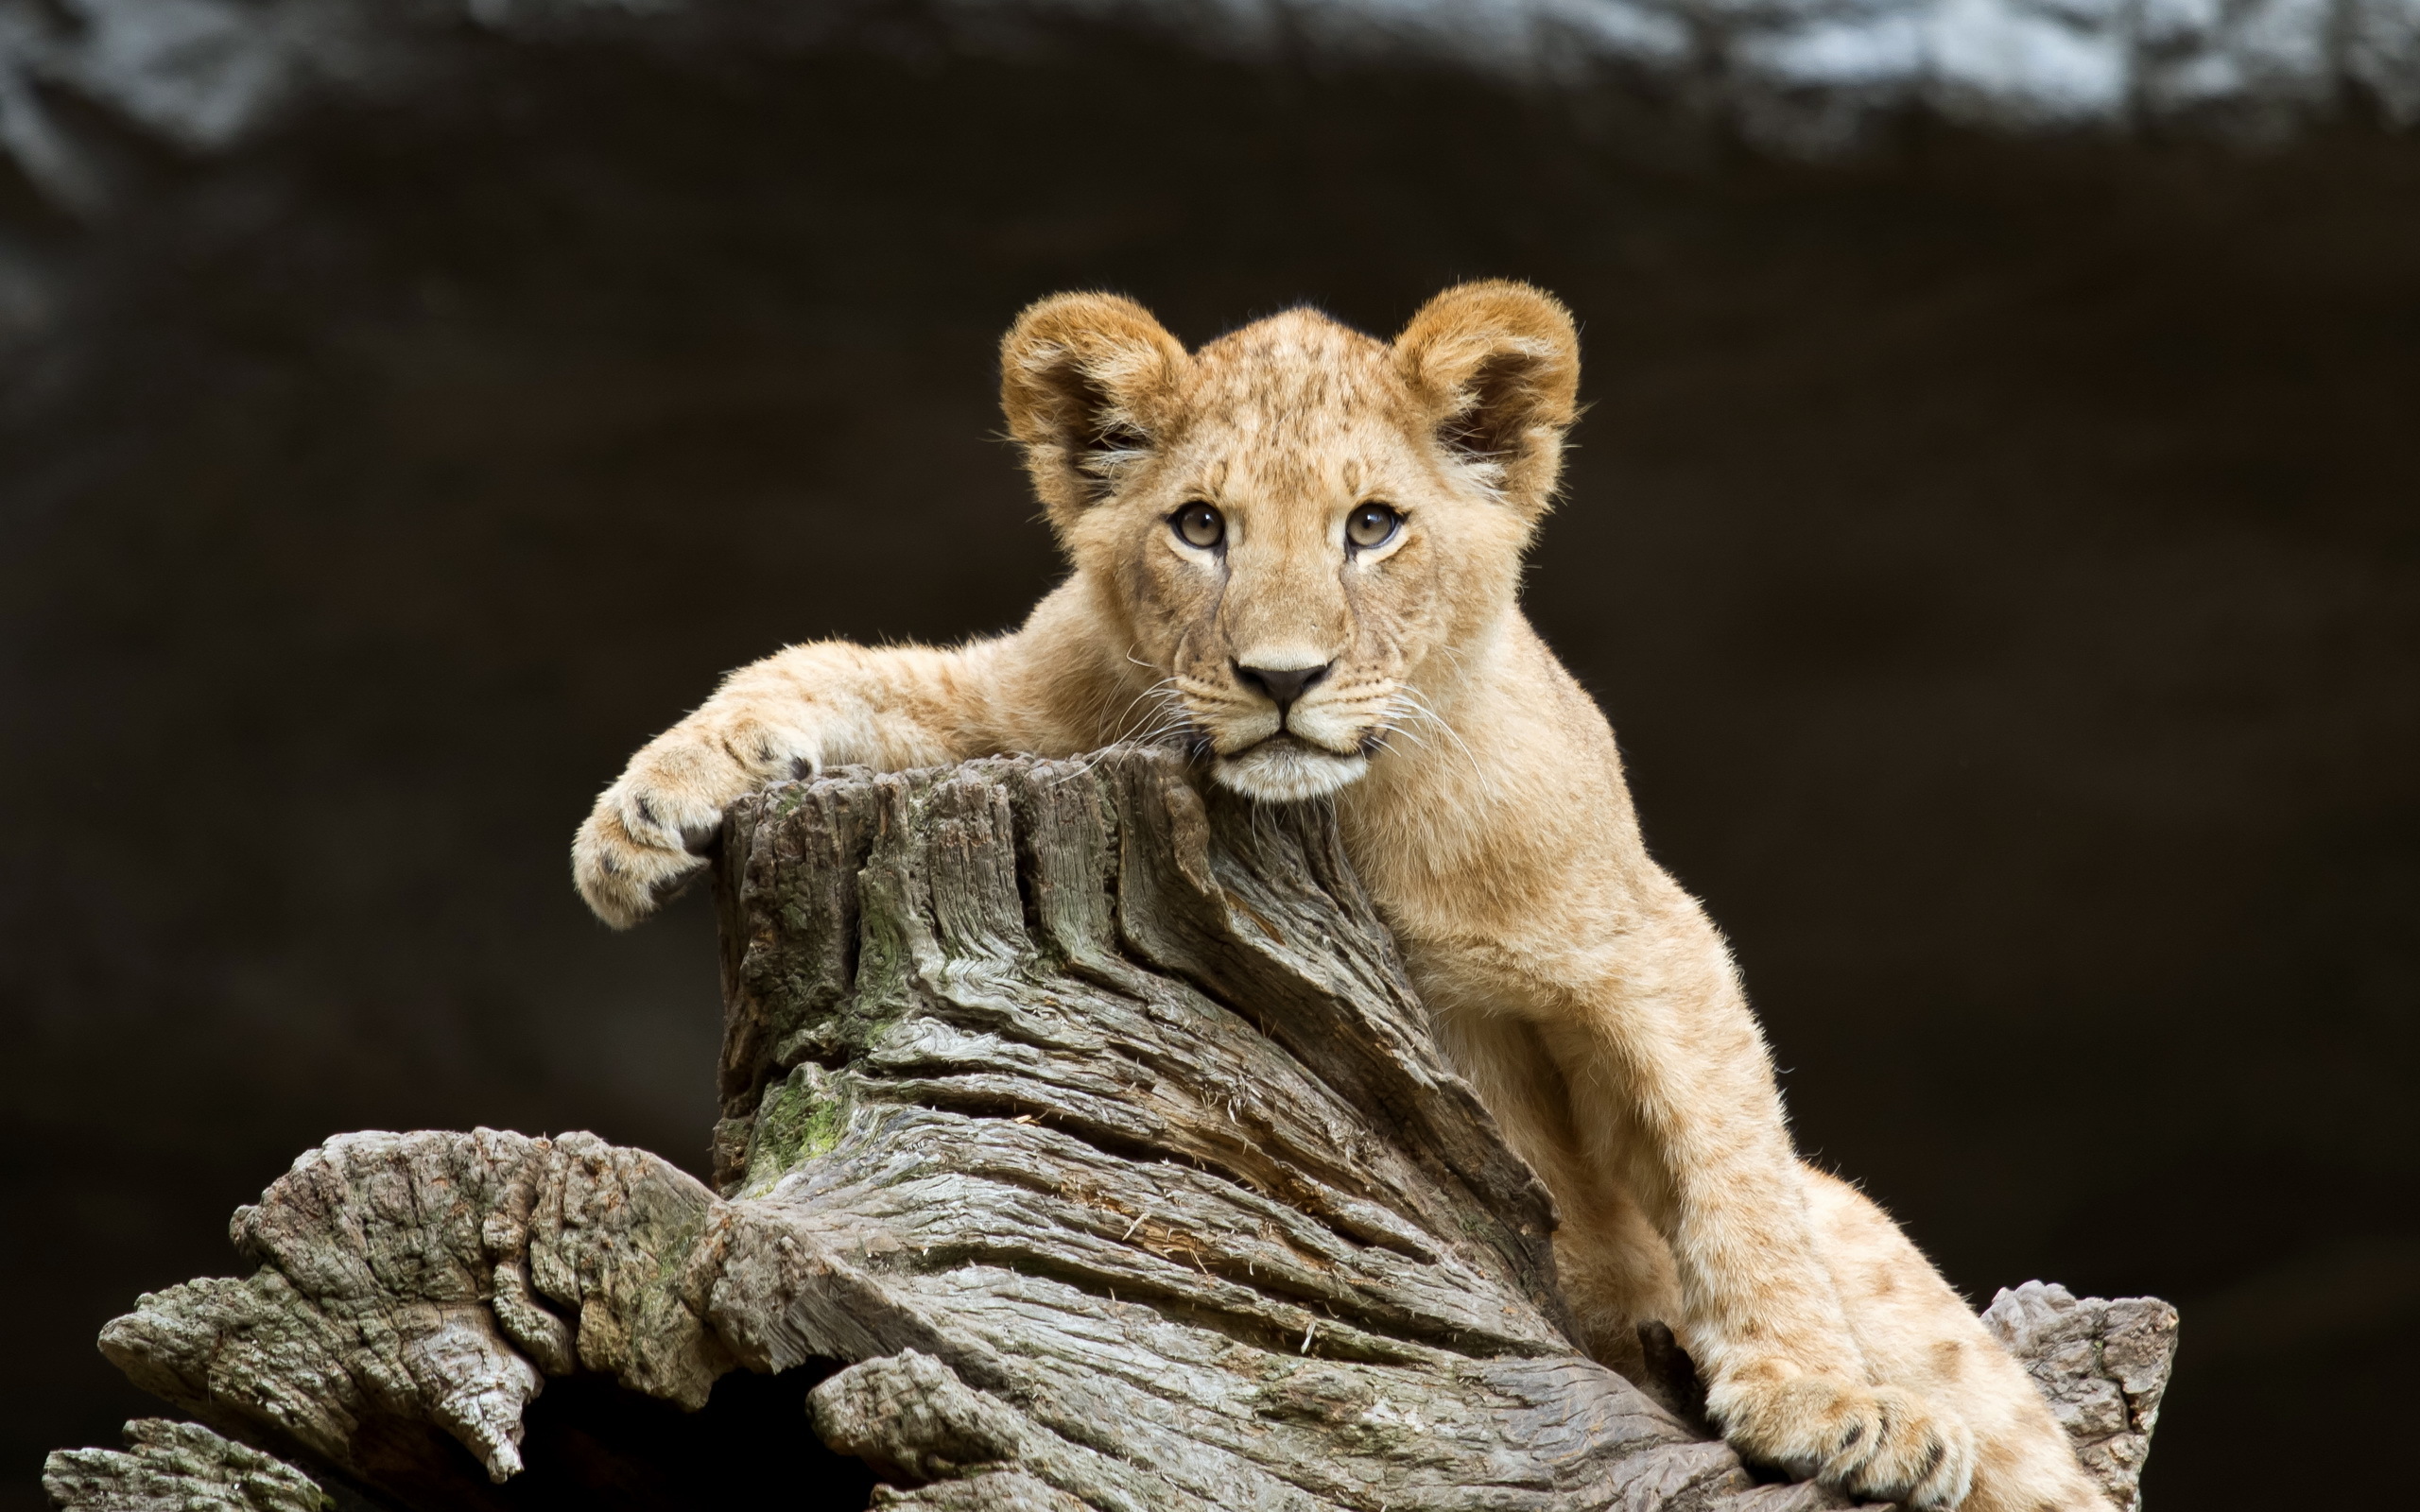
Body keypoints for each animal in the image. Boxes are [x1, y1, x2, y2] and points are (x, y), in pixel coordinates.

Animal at [576, 283, 2110, 1509]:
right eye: (1200, 526)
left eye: (1374, 526)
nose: (1281, 678)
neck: (1345, 817)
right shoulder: (1025, 707)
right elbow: (833, 665)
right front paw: (636, 815)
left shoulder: (1646, 938)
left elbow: (1723, 1156)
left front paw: (1827, 1403)